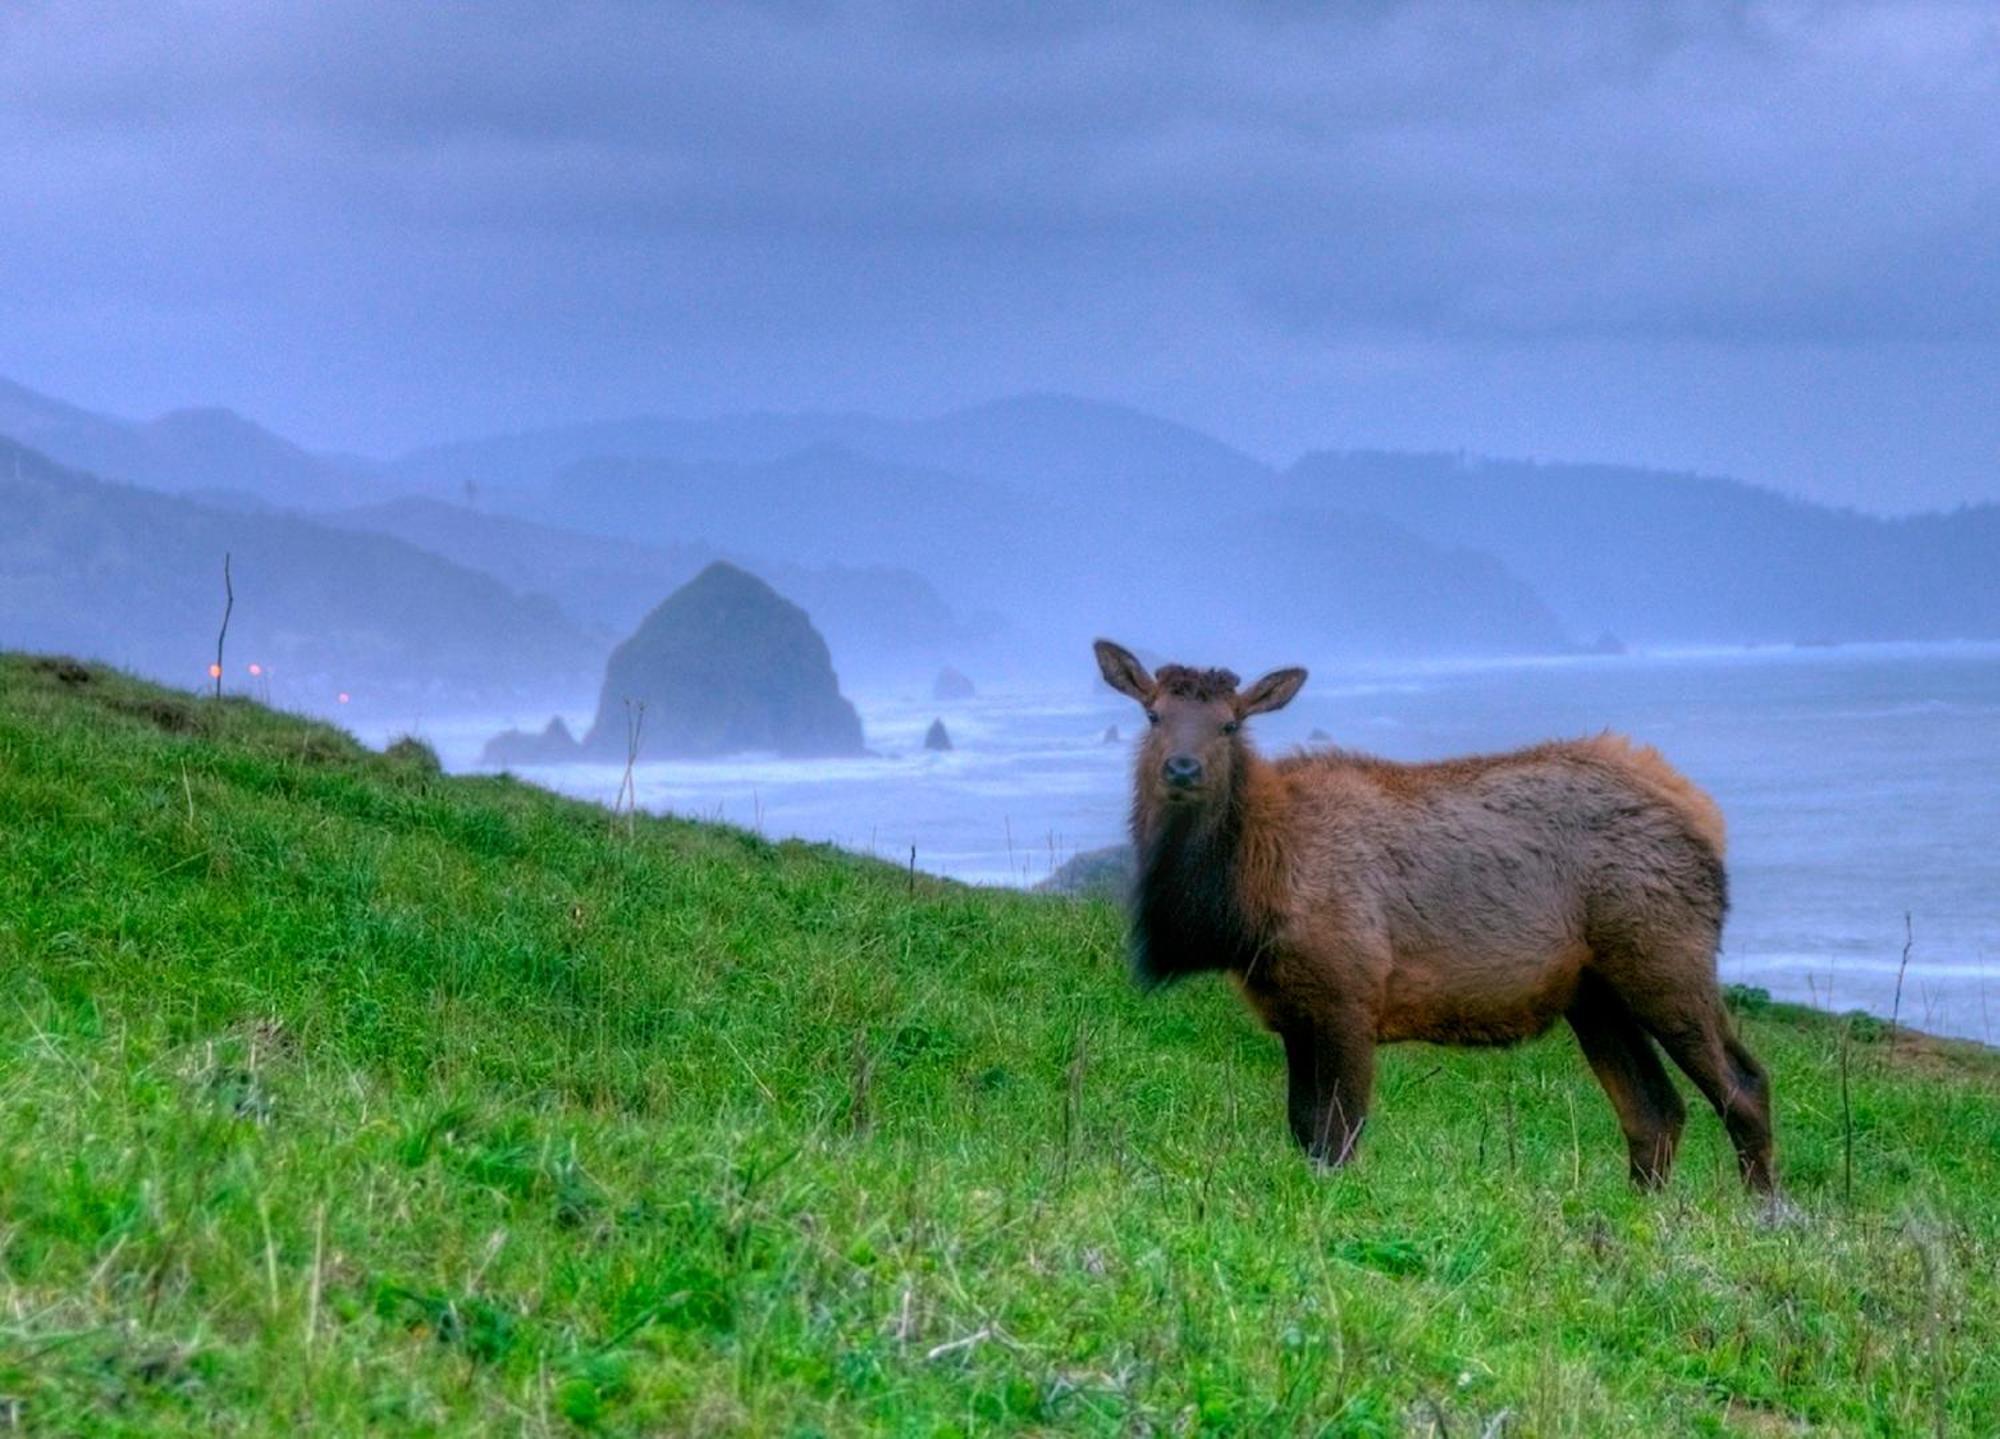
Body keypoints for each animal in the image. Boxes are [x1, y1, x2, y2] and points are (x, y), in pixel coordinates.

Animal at [1096, 639, 1784, 1191]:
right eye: (1154, 714)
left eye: (1230, 724)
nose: (1182, 767)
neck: (1250, 904)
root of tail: (1703, 812)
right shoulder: (1292, 1009)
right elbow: (1304, 1128)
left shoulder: (1351, 992)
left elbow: (1340, 1133)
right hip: (1595, 994)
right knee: (1654, 1111)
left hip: (1667, 957)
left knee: (1743, 1087)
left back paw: (1764, 1212)